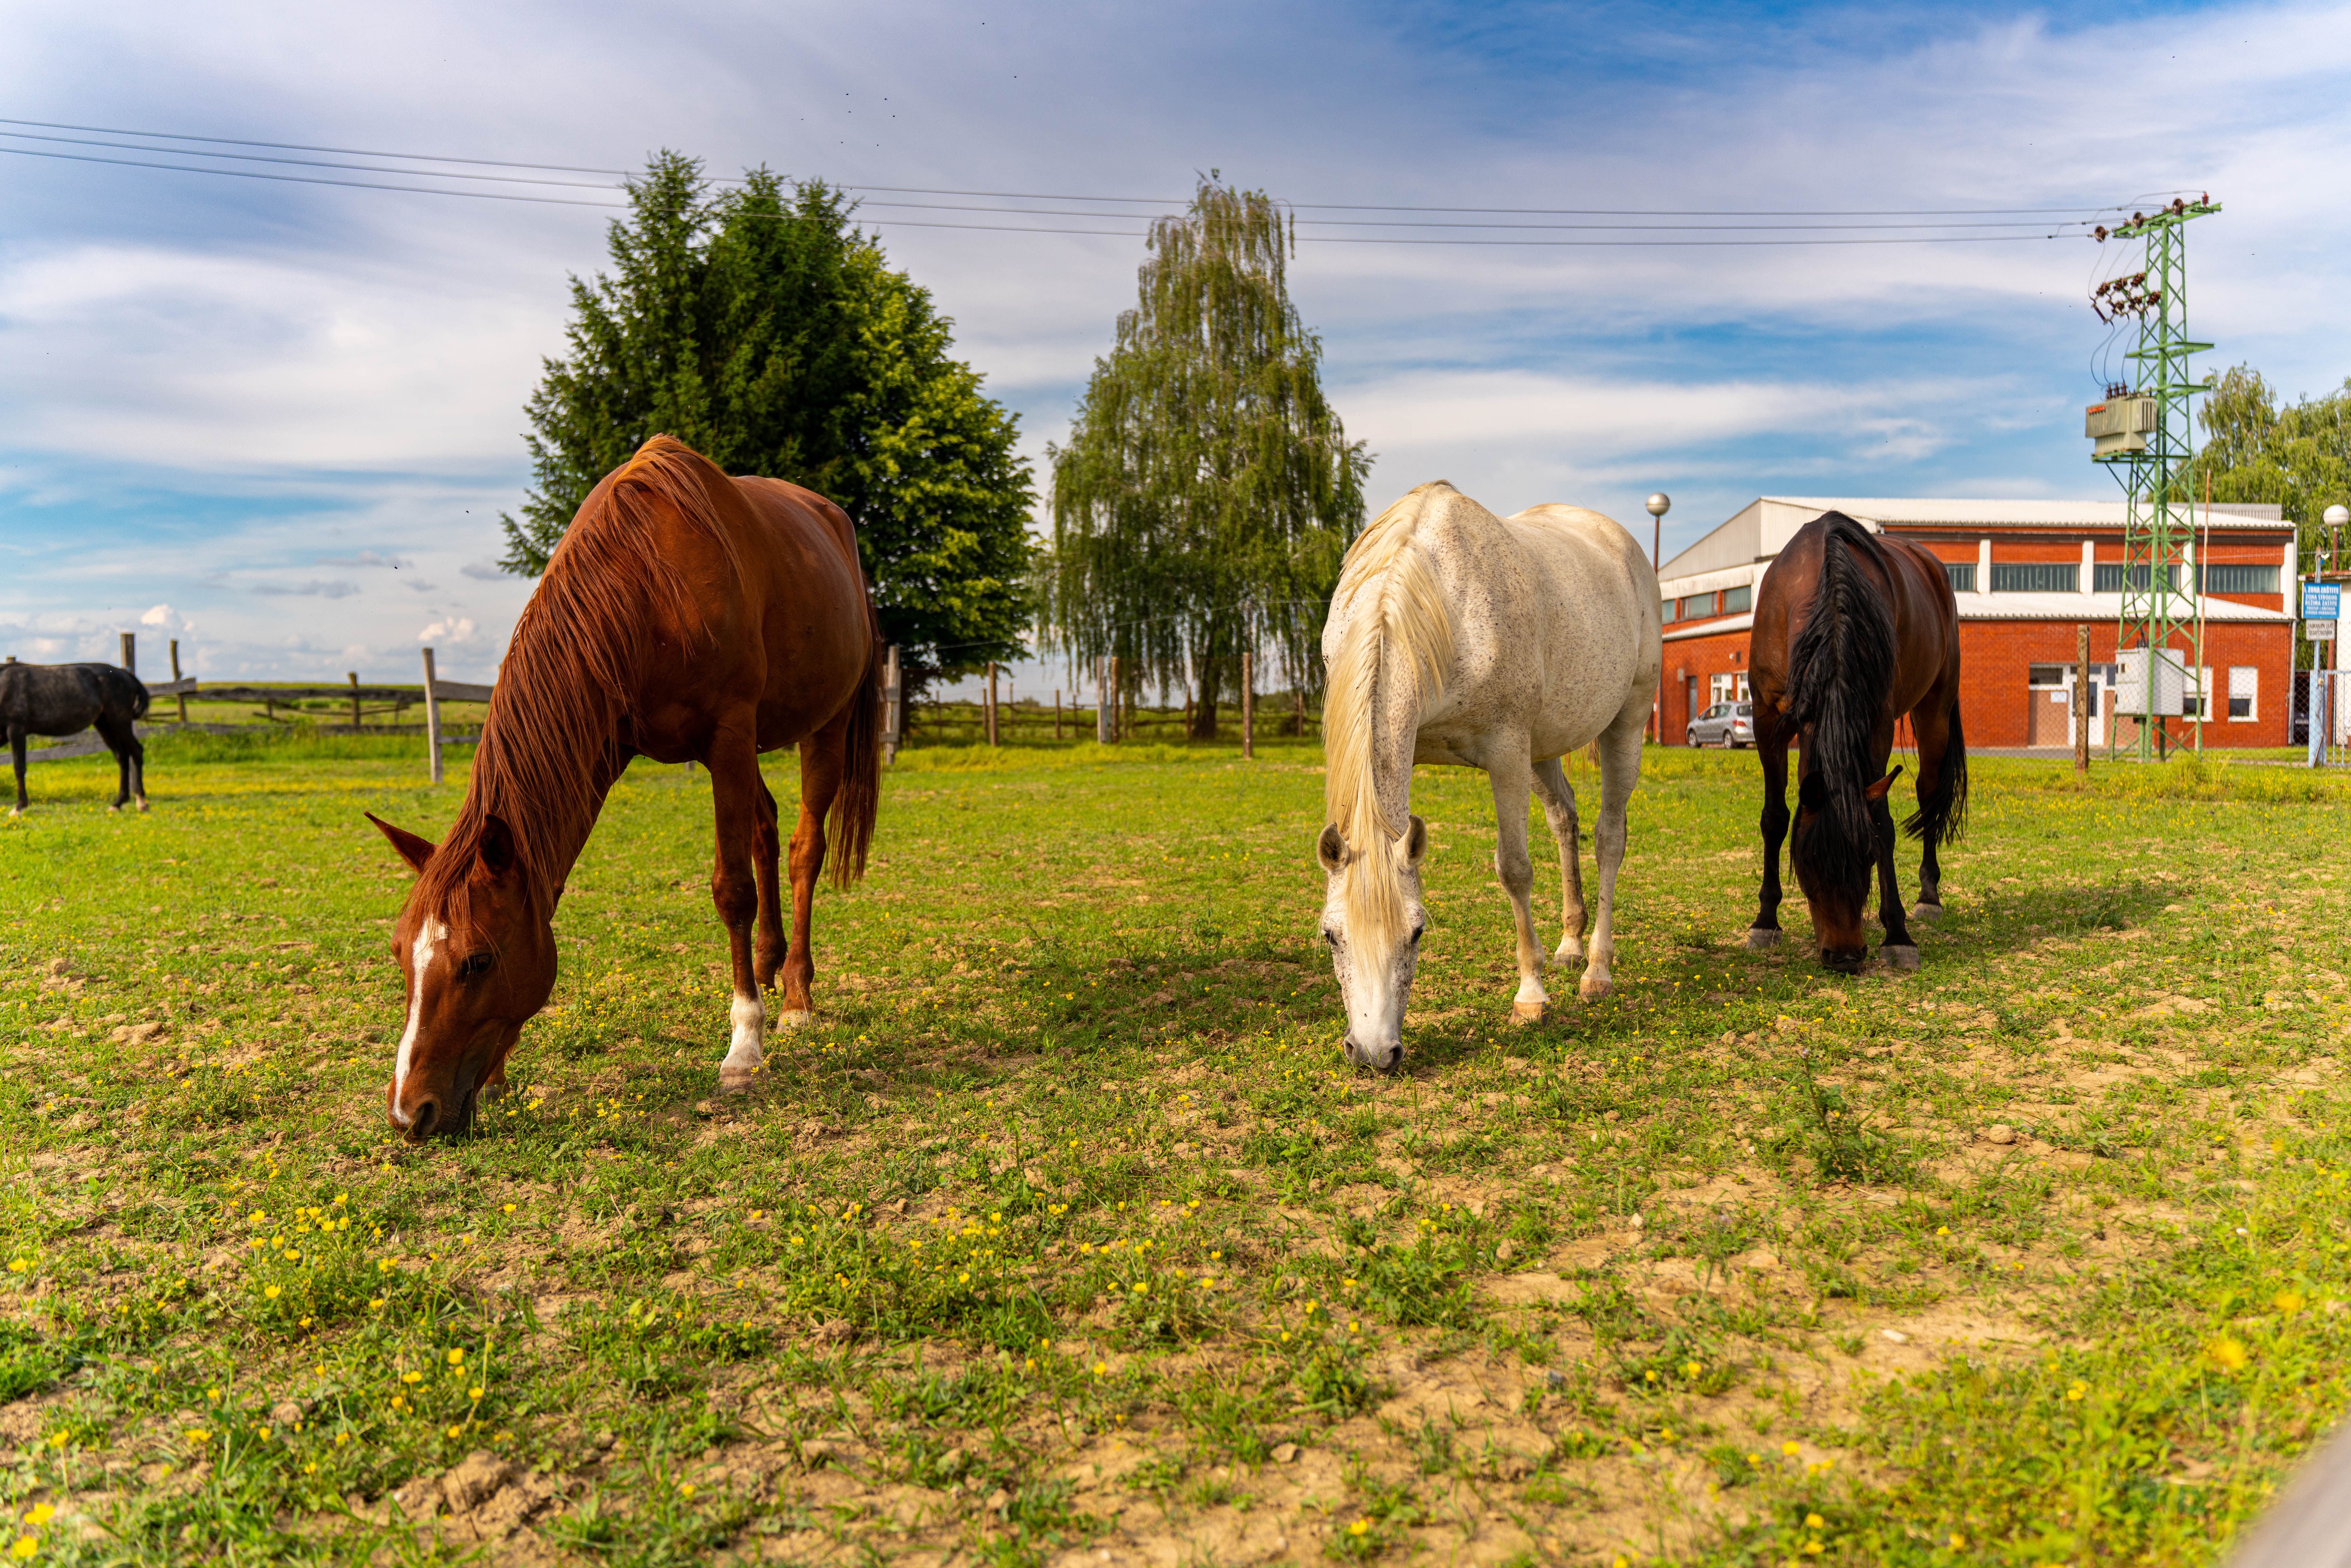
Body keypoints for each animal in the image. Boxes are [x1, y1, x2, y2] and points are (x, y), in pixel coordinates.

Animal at [1, 659, 151, 817]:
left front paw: (19, 807)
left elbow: (19, 768)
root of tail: (126, 674)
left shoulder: (16, 729)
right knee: (122, 757)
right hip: (104, 724)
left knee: (136, 751)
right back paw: (118, 803)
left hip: (120, 722)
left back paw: (141, 802)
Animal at [364, 435, 882, 1140]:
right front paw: (499, 1077)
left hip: (823, 727)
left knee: (805, 847)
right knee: (768, 831)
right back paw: (770, 966)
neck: (650, 587)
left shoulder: (728, 735)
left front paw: (744, 1047)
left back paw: (797, 995)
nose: (410, 1112)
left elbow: (732, 891)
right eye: (399, 954)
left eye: (479, 960)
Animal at [1314, 482, 1661, 1072]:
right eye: (1330, 935)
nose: (1373, 1052)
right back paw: (1570, 946)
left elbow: (1514, 869)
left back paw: (1596, 971)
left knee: (1609, 839)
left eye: (1417, 932)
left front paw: (1531, 997)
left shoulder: (1506, 751)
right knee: (1564, 819)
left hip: (1625, 726)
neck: (1439, 599)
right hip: (1543, 749)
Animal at [1744, 510, 1966, 974]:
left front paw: (1897, 934)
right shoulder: (1766, 719)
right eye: (1808, 862)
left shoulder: (1877, 722)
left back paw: (1929, 897)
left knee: (1928, 793)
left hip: (1934, 709)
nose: (1845, 956)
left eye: (1866, 857)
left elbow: (1882, 823)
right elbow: (1774, 818)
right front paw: (1765, 921)